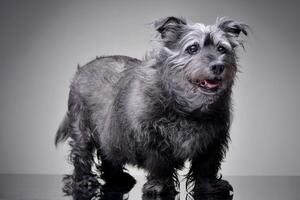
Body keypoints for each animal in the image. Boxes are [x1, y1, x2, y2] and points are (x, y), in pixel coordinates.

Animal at [55, 16, 248, 198]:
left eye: (221, 49)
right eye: (192, 48)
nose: (218, 66)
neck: (188, 108)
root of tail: (81, 70)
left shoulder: (212, 141)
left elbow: (207, 167)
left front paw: (210, 187)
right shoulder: (153, 139)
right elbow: (159, 166)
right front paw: (159, 187)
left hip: (109, 135)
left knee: (109, 155)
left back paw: (118, 178)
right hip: (83, 130)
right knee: (81, 155)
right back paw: (83, 181)